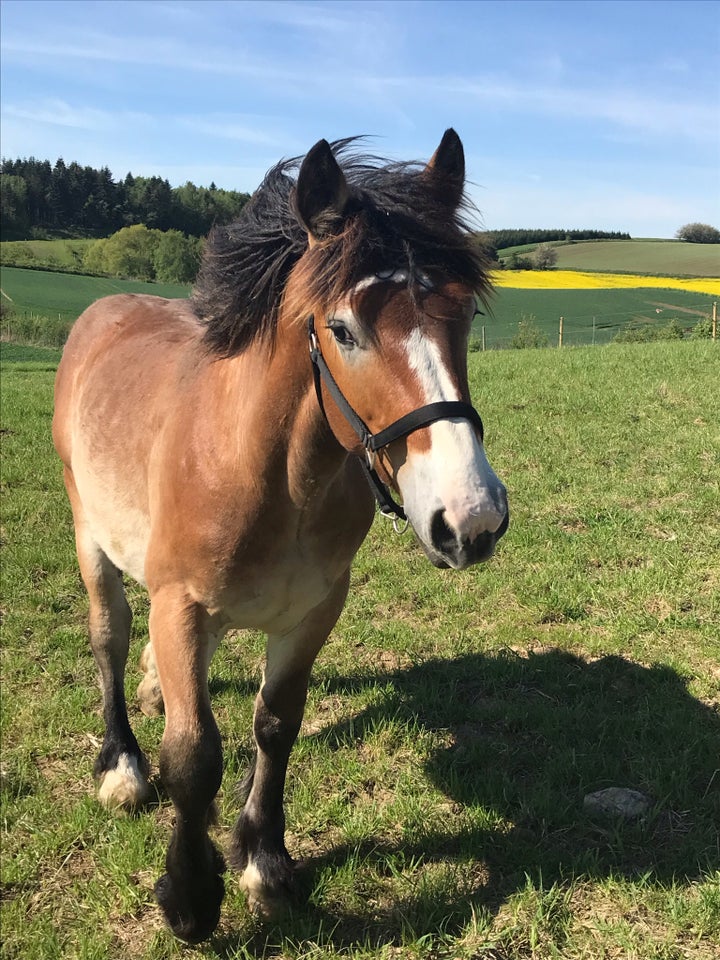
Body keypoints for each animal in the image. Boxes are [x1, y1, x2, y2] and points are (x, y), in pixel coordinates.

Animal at [52, 129, 506, 944]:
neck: (271, 475)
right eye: (344, 329)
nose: (472, 520)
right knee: (108, 634)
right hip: (89, 535)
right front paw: (190, 897)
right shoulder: (180, 604)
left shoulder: (313, 612)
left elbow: (276, 724)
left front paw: (264, 861)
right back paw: (121, 764)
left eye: (462, 316)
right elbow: (194, 756)